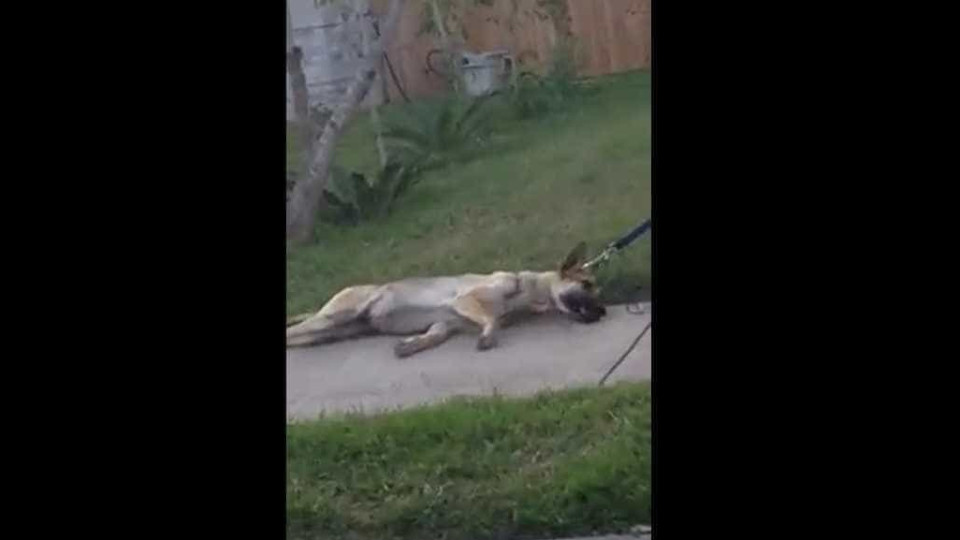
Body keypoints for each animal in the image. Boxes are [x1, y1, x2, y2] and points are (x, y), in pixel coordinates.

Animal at [284, 243, 608, 356]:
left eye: (596, 289)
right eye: (586, 284)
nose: (603, 311)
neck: (528, 290)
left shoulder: (446, 324)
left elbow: (434, 335)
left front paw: (412, 345)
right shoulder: (465, 300)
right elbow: (491, 319)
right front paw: (488, 336)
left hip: (328, 331)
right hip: (330, 318)